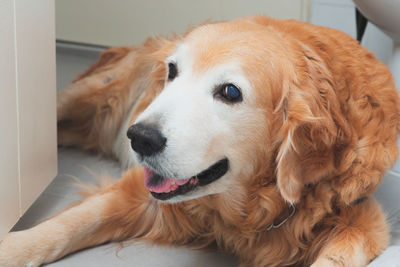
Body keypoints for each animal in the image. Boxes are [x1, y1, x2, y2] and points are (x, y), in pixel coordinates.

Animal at [0, 15, 400, 266]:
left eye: (230, 92)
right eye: (172, 71)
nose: (138, 138)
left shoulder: (361, 218)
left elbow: (339, 254)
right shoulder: (141, 192)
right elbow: (65, 225)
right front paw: (11, 248)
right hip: (83, 96)